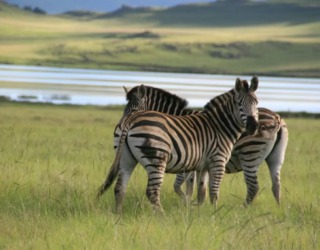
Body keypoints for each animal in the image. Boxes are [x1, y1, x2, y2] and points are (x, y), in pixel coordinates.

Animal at [97, 76, 260, 213]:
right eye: (239, 104)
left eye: (256, 103)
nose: (253, 127)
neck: (220, 126)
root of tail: (129, 121)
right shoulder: (217, 161)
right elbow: (212, 193)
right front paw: (213, 214)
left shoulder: (202, 165)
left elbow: (201, 192)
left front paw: (199, 214)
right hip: (157, 158)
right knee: (152, 192)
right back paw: (163, 217)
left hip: (126, 158)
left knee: (120, 188)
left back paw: (119, 215)